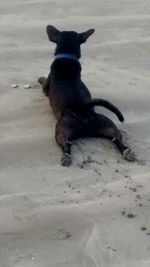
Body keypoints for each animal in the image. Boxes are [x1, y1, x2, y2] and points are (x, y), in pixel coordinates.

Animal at [38, 25, 135, 168]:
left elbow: (43, 82)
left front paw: (39, 78)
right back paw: (127, 152)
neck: (68, 56)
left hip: (61, 129)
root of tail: (82, 109)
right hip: (108, 126)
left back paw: (66, 157)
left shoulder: (46, 85)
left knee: (66, 145)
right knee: (117, 139)